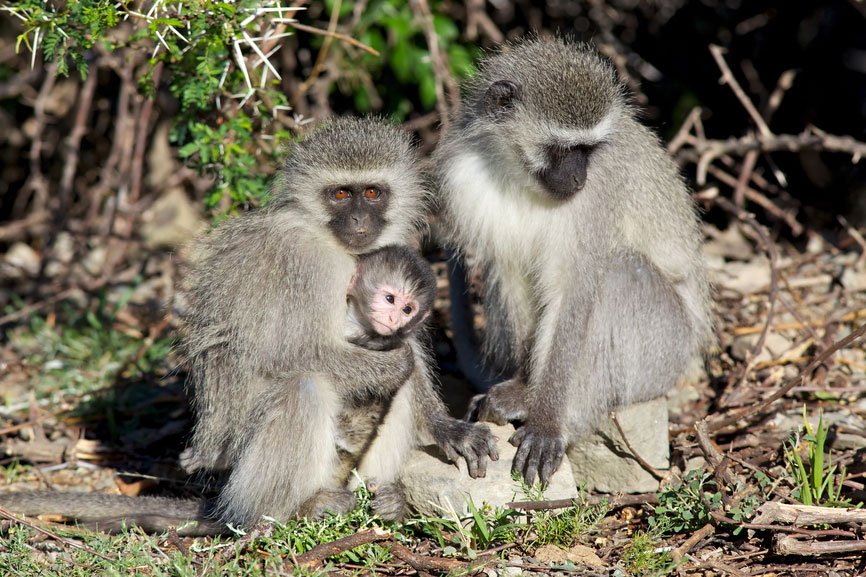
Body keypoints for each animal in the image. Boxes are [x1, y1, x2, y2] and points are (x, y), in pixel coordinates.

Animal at [0, 118, 496, 536]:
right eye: (340, 195)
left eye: (372, 193)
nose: (359, 220)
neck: (335, 245)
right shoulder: (307, 265)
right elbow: (286, 351)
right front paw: (392, 366)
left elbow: (405, 350)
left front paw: (447, 427)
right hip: (241, 457)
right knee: (305, 388)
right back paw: (290, 511)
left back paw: (387, 500)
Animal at [432, 37, 708, 486]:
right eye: (562, 150)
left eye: (588, 150)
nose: (578, 179)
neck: (519, 174)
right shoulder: (464, 176)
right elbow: (509, 273)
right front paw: (523, 388)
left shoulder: (598, 193)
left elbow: (574, 291)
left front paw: (545, 423)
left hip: (666, 353)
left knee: (620, 275)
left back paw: (563, 418)